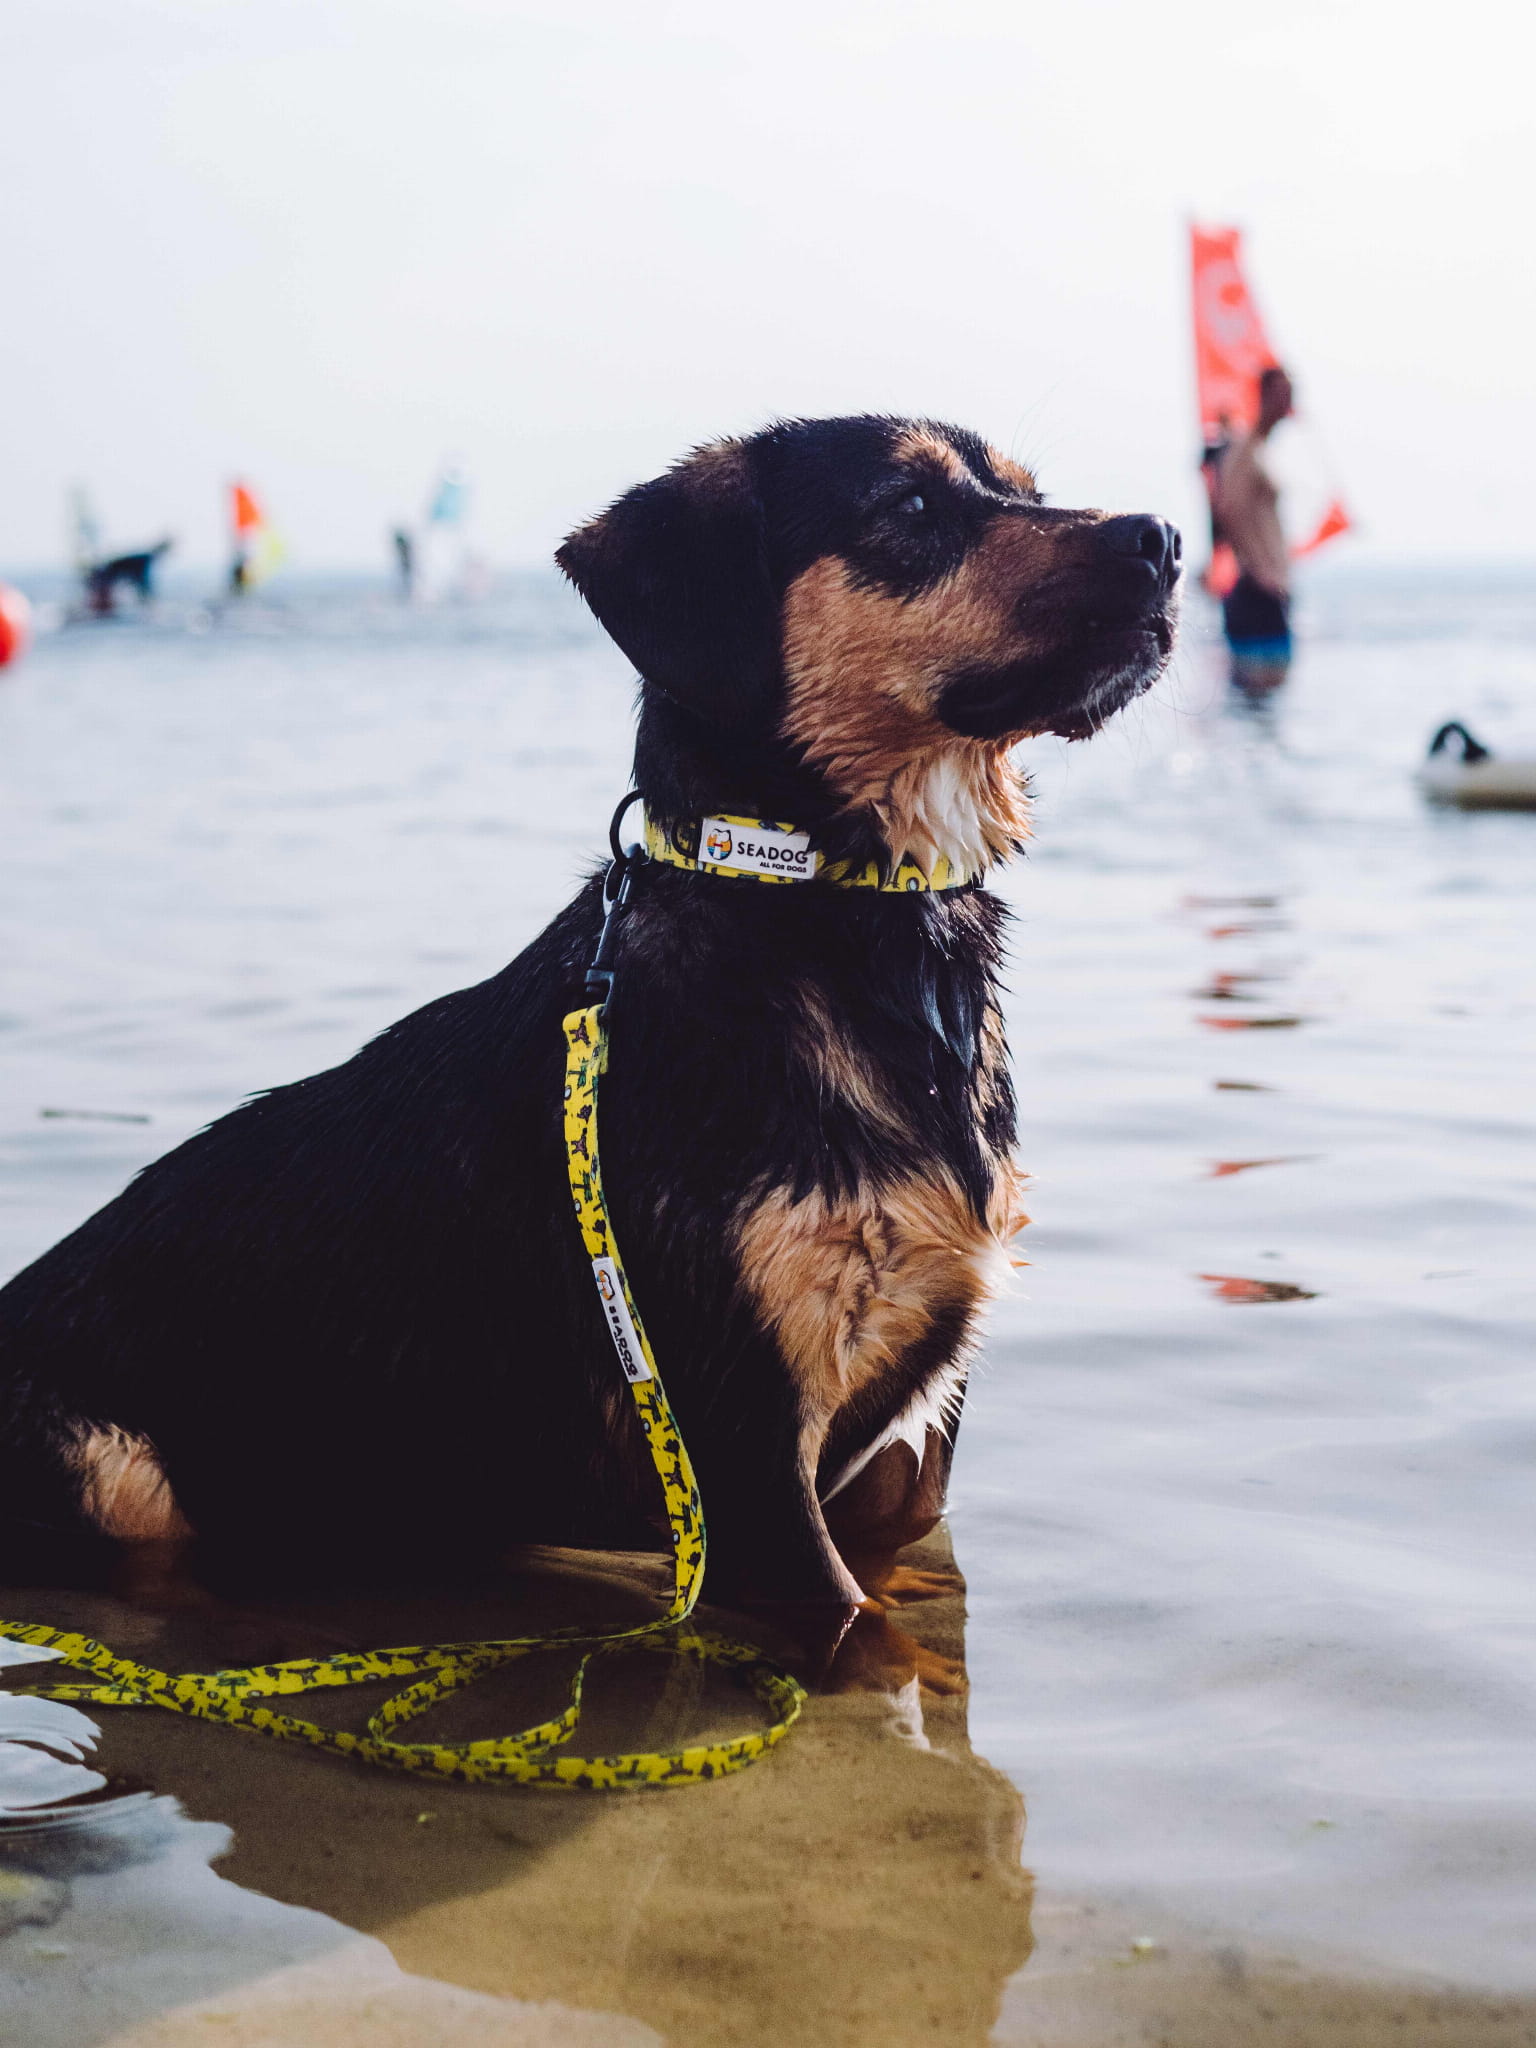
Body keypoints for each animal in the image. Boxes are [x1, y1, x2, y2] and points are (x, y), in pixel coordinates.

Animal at [0, 411, 1187, 1662]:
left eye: (1028, 490)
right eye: (912, 507)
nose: (1164, 539)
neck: (832, 905)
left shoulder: (909, 1453)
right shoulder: (748, 1452)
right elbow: (858, 1631)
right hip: (110, 1464)